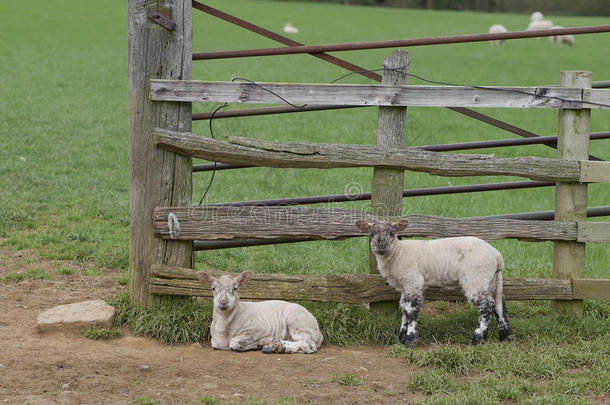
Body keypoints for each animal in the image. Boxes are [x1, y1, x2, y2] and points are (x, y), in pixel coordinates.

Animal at [356, 219, 512, 346]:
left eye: (392, 233)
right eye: (371, 234)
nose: (381, 245)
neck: (397, 253)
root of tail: (497, 256)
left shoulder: (413, 281)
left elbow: (411, 309)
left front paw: (411, 340)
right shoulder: (405, 286)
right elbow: (403, 308)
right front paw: (401, 337)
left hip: (475, 278)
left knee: (487, 306)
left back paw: (477, 339)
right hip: (491, 280)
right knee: (499, 304)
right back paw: (506, 336)